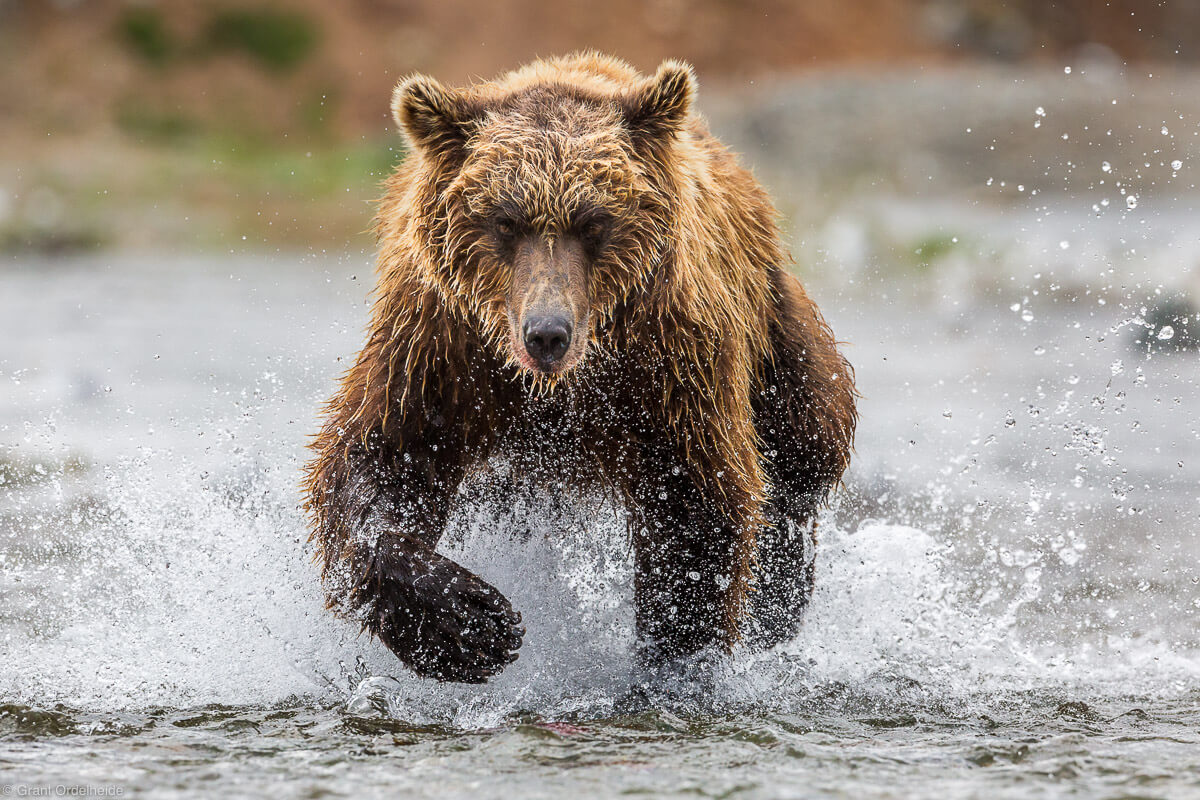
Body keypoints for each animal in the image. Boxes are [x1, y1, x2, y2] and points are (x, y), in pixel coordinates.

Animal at [303, 52, 857, 683]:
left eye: (593, 222)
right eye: (505, 221)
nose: (547, 333)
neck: (563, 384)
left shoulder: (671, 356)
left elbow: (695, 500)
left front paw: (672, 658)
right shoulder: (439, 343)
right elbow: (382, 459)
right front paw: (466, 623)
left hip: (775, 336)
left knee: (799, 458)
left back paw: (776, 605)